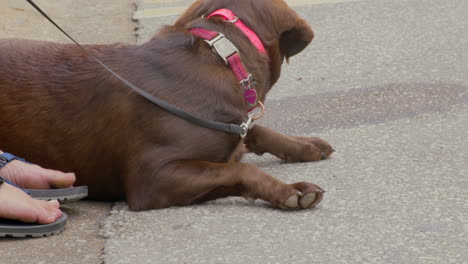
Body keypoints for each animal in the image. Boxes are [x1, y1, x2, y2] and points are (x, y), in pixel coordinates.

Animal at [1, 0, 334, 210]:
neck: (223, 58)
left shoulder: (232, 127)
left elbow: (256, 131)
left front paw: (304, 145)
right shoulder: (152, 178)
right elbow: (242, 170)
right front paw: (291, 190)